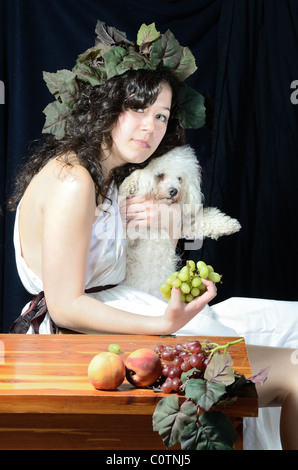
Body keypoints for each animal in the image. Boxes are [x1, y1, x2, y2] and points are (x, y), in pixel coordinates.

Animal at [117, 145, 241, 296]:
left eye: (179, 178)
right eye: (160, 175)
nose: (174, 191)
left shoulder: (183, 225)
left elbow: (204, 219)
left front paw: (229, 224)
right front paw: (129, 185)